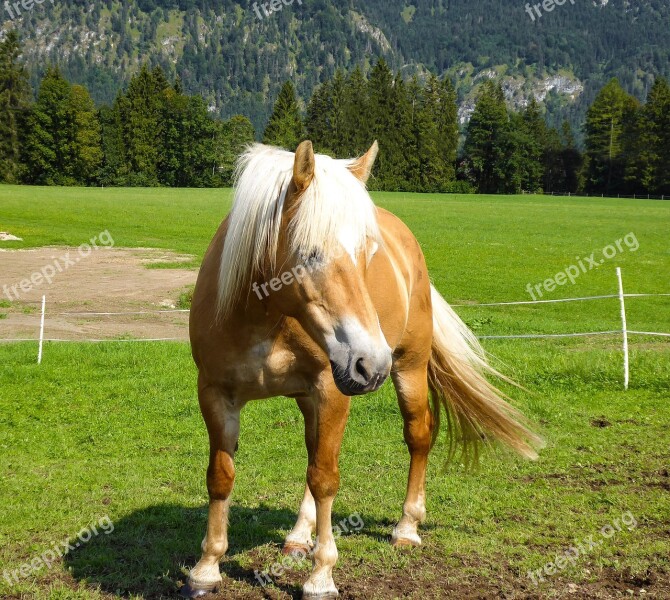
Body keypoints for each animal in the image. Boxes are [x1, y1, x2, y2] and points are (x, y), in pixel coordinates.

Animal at [185, 138, 544, 596]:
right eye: (311, 253)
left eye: (367, 253)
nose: (371, 363)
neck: (265, 317)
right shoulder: (216, 394)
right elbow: (221, 476)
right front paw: (206, 569)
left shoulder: (332, 389)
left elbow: (325, 478)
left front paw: (321, 576)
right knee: (313, 452)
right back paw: (298, 537)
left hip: (408, 369)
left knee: (417, 436)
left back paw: (406, 528)